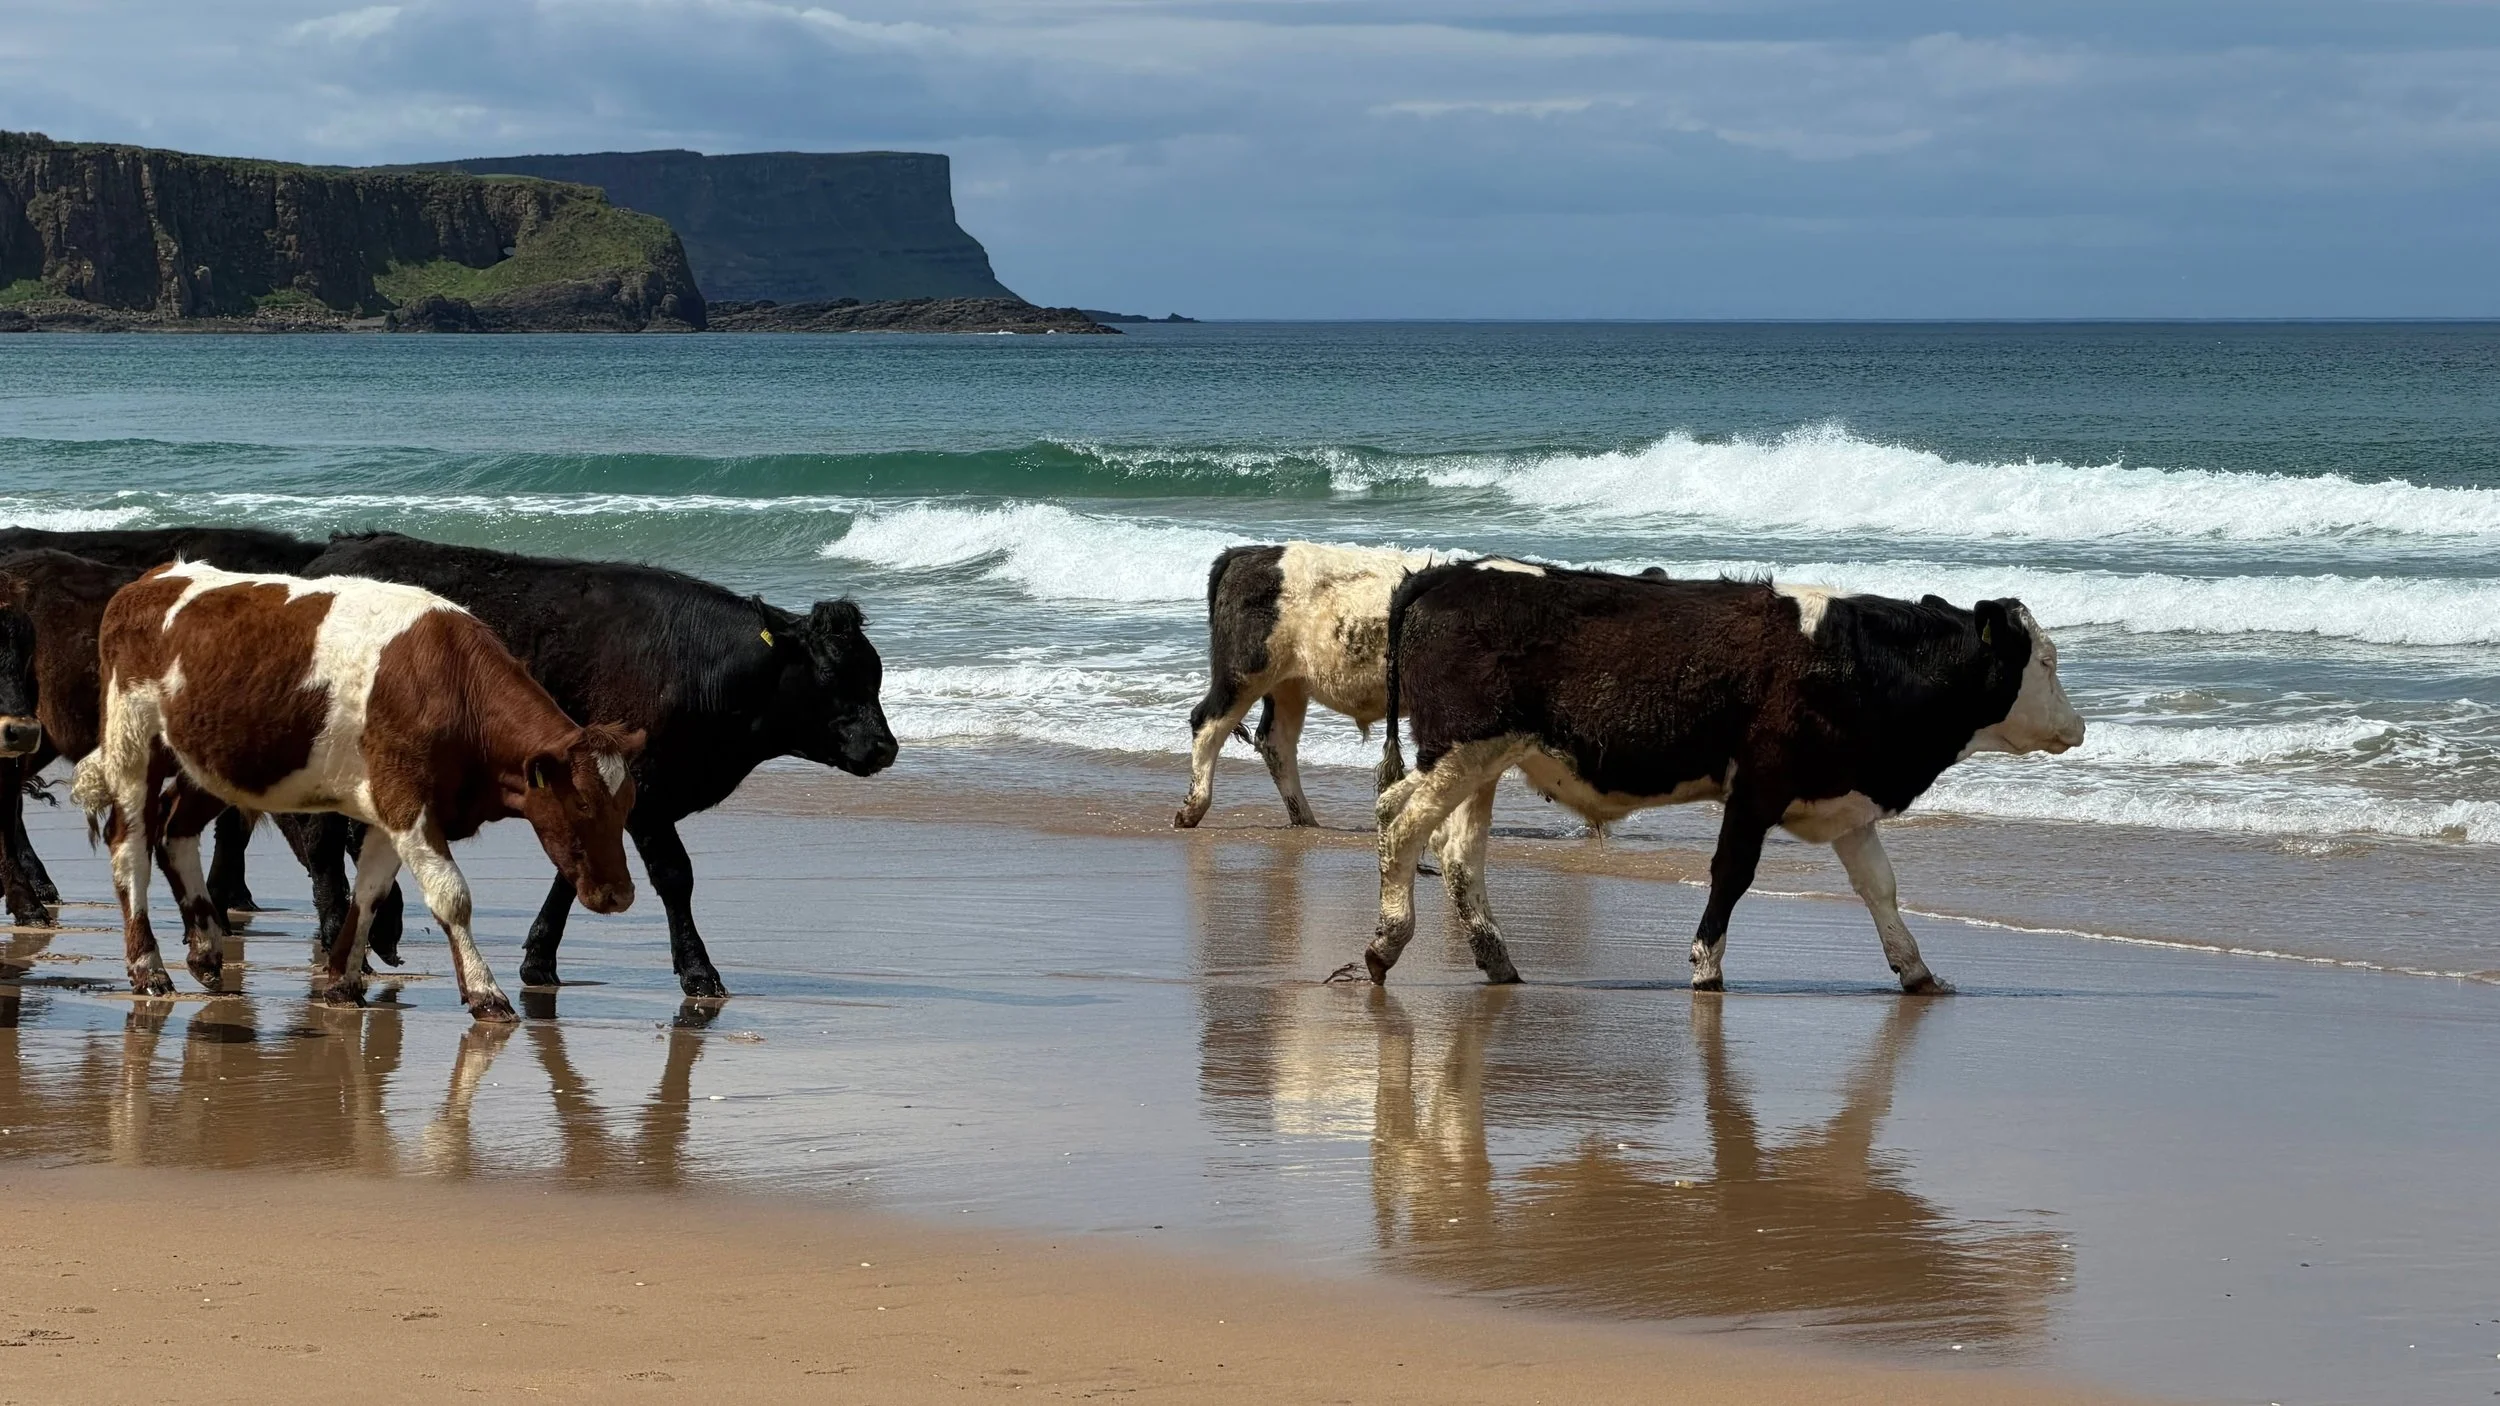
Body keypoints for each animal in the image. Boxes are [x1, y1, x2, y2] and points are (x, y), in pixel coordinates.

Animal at [71, 562, 645, 1021]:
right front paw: (486, 992)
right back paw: (148, 968)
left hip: (215, 760)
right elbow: (451, 897)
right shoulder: (406, 801)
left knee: (176, 829)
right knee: (130, 845)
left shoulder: (392, 810)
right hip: (133, 741)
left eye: (626, 806)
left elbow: (369, 893)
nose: (620, 895)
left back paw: (208, 950)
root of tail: (154, 578)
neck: (452, 687)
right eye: (582, 803)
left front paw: (343, 982)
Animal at [291, 532, 897, 997]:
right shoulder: (647, 794)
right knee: (321, 843)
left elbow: (575, 865)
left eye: (875, 672)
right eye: (828, 675)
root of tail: (334, 549)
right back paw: (341, 938)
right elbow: (675, 876)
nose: (884, 747)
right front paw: (699, 972)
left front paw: (539, 960)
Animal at [1345, 564, 2085, 993]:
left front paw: (1917, 970)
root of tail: (1449, 574)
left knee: (1450, 849)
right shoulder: (1759, 786)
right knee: (1402, 825)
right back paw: (1385, 945)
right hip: (1464, 750)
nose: (2077, 727)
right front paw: (1706, 965)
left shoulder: (1843, 797)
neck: (1856, 661)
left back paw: (1495, 960)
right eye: (2045, 662)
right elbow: (1732, 874)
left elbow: (1881, 886)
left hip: (1479, 762)